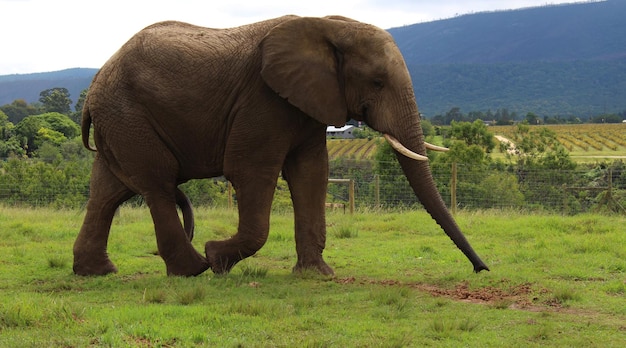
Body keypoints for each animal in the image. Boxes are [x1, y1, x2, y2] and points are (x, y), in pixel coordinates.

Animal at [74, 14, 488, 278]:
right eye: (377, 82)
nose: (481, 269)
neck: (331, 25)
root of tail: (94, 88)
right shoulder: (262, 101)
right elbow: (251, 171)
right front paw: (217, 258)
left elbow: (312, 174)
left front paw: (317, 276)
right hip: (128, 116)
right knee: (157, 184)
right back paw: (193, 270)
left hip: (121, 121)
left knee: (108, 191)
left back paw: (96, 273)